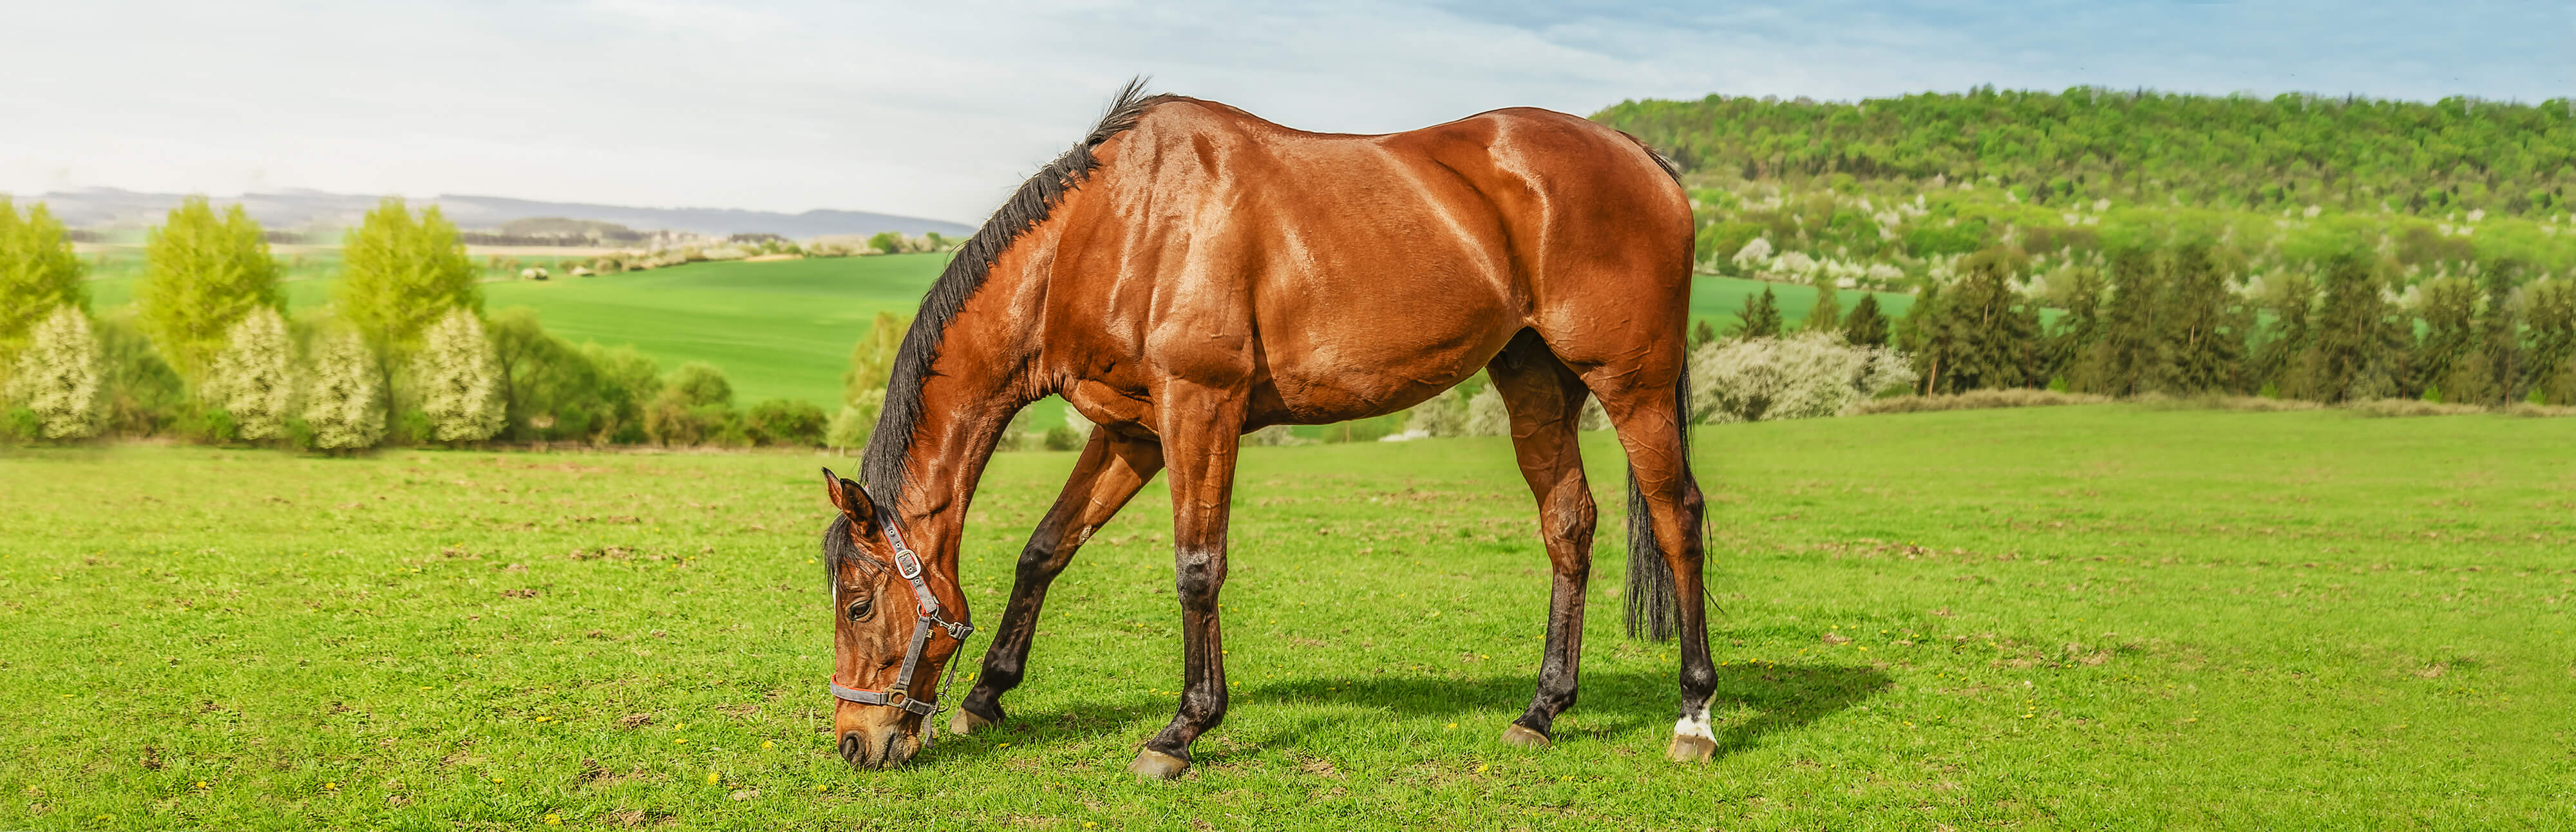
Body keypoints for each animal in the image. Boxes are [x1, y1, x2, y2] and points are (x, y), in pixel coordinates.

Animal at [819, 81, 1710, 778]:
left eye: (859, 603)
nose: (855, 740)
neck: (1112, 228)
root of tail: (1639, 156)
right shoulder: (1133, 429)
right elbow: (1045, 547)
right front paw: (986, 694)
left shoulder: (1199, 405)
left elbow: (1197, 567)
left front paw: (1181, 730)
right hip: (1534, 379)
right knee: (1568, 524)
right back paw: (1541, 710)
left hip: (1631, 385)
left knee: (1679, 520)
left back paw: (1694, 715)